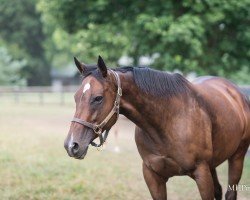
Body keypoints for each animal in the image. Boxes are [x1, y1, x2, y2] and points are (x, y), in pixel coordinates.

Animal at [65, 56, 250, 200]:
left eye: (98, 98)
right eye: (75, 97)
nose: (72, 145)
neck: (167, 122)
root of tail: (236, 92)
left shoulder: (201, 173)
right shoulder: (153, 176)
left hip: (237, 157)